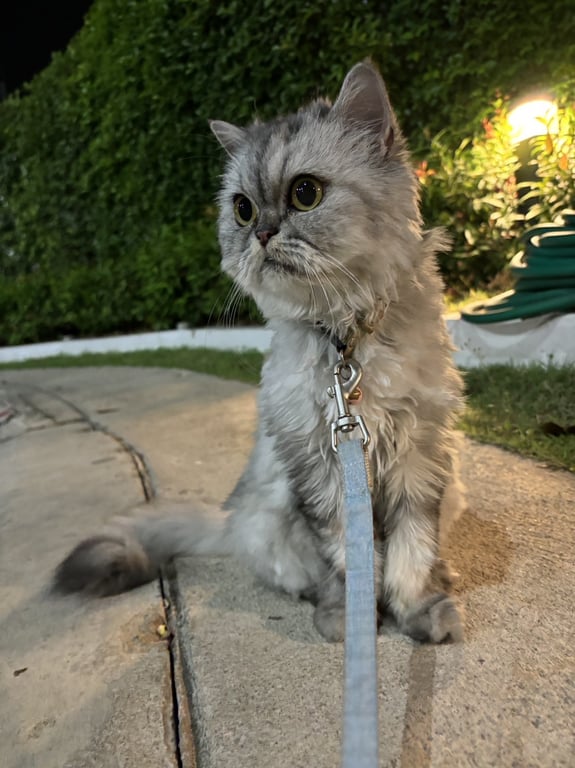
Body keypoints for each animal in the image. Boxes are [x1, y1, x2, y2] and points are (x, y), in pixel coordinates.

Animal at [55, 61, 466, 643]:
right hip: (272, 519)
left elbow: (413, 551)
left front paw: (419, 609)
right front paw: (353, 617)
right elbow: (347, 557)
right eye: (243, 209)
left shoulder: (419, 453)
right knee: (298, 573)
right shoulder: (318, 464)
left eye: (305, 194)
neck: (345, 340)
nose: (263, 233)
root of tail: (228, 517)